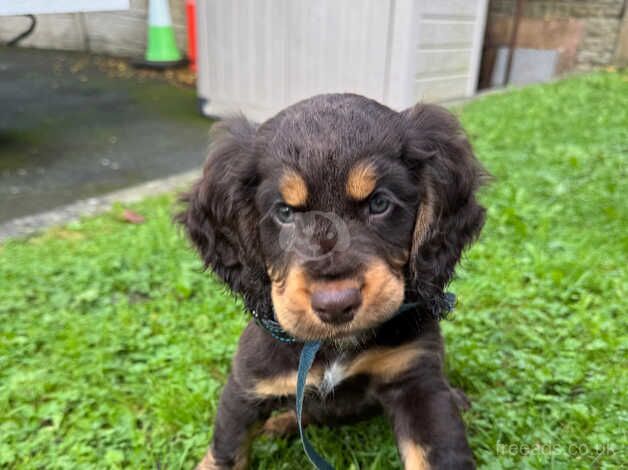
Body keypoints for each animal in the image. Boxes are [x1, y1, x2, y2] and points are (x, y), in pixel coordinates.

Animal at [177, 93, 486, 468]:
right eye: (285, 213)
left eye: (379, 203)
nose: (336, 305)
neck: (331, 347)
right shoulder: (246, 386)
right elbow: (225, 451)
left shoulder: (417, 380)